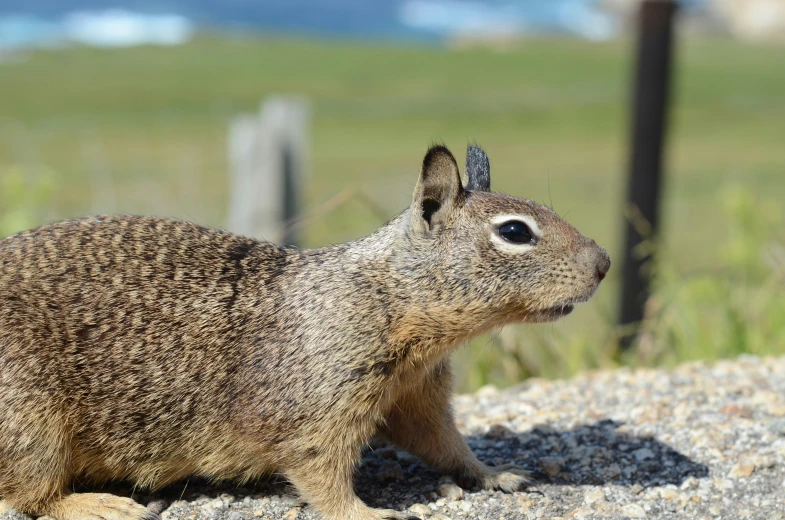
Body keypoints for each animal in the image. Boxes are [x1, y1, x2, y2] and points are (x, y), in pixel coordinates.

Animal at [0, 143, 608, 520]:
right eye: (515, 232)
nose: (604, 263)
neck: (386, 297)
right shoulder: (318, 409)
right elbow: (322, 474)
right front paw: (367, 512)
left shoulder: (416, 394)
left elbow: (445, 445)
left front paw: (495, 473)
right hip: (32, 424)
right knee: (29, 494)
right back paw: (101, 504)